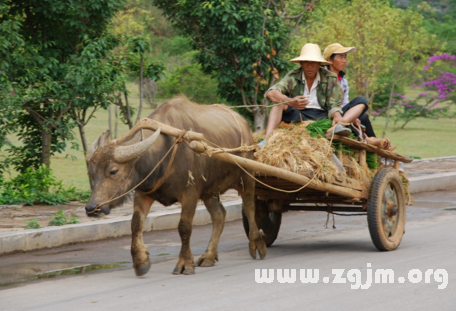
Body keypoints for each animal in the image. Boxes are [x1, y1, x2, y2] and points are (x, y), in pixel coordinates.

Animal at [84, 96, 268, 276]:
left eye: (113, 171)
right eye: (91, 172)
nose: (92, 208)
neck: (162, 155)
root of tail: (245, 126)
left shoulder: (190, 194)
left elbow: (184, 227)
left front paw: (184, 263)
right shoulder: (143, 193)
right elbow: (136, 223)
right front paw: (141, 261)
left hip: (247, 177)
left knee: (249, 207)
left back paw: (257, 244)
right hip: (210, 191)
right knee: (219, 215)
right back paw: (208, 256)